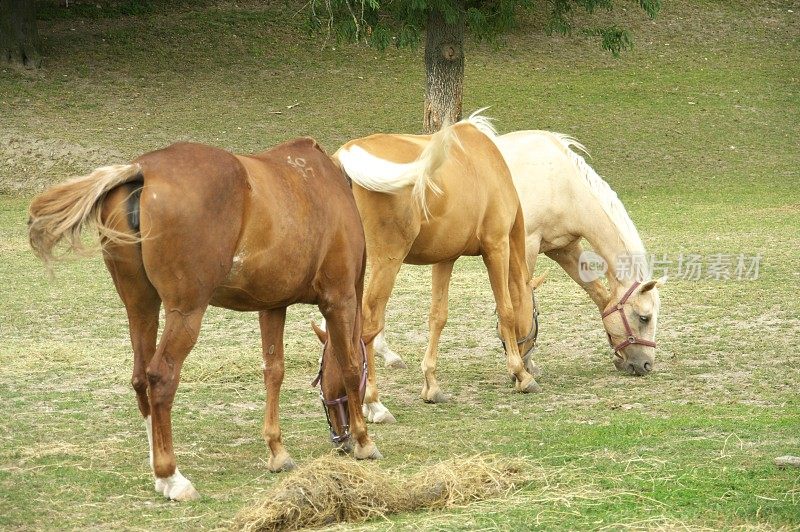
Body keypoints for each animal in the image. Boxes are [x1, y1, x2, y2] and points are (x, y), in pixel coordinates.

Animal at [28, 138, 382, 502]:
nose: (340, 440)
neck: (328, 183)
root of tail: (143, 169)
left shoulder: (272, 306)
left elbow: (274, 372)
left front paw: (277, 450)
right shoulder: (339, 300)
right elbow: (349, 364)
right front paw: (364, 440)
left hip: (140, 307)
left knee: (141, 377)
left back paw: (158, 470)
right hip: (186, 314)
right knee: (160, 377)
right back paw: (171, 476)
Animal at [334, 118, 548, 422]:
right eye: (537, 316)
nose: (529, 363)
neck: (488, 164)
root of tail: (345, 158)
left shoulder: (445, 260)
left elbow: (438, 317)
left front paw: (431, 385)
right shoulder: (497, 247)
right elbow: (506, 310)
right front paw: (522, 375)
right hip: (386, 263)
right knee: (368, 326)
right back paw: (373, 402)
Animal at [376, 123, 668, 388]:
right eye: (644, 317)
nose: (646, 364)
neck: (561, 183)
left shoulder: (564, 249)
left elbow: (598, 295)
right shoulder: (526, 245)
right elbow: (520, 302)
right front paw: (523, 364)